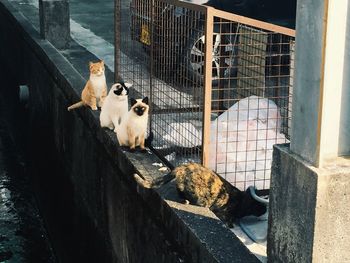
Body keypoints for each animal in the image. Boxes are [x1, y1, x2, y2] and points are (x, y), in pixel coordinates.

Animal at [134, 163, 266, 227]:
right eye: (260, 206)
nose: (265, 210)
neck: (241, 201)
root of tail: (184, 166)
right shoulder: (223, 212)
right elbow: (227, 219)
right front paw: (231, 224)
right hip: (198, 193)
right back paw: (186, 200)